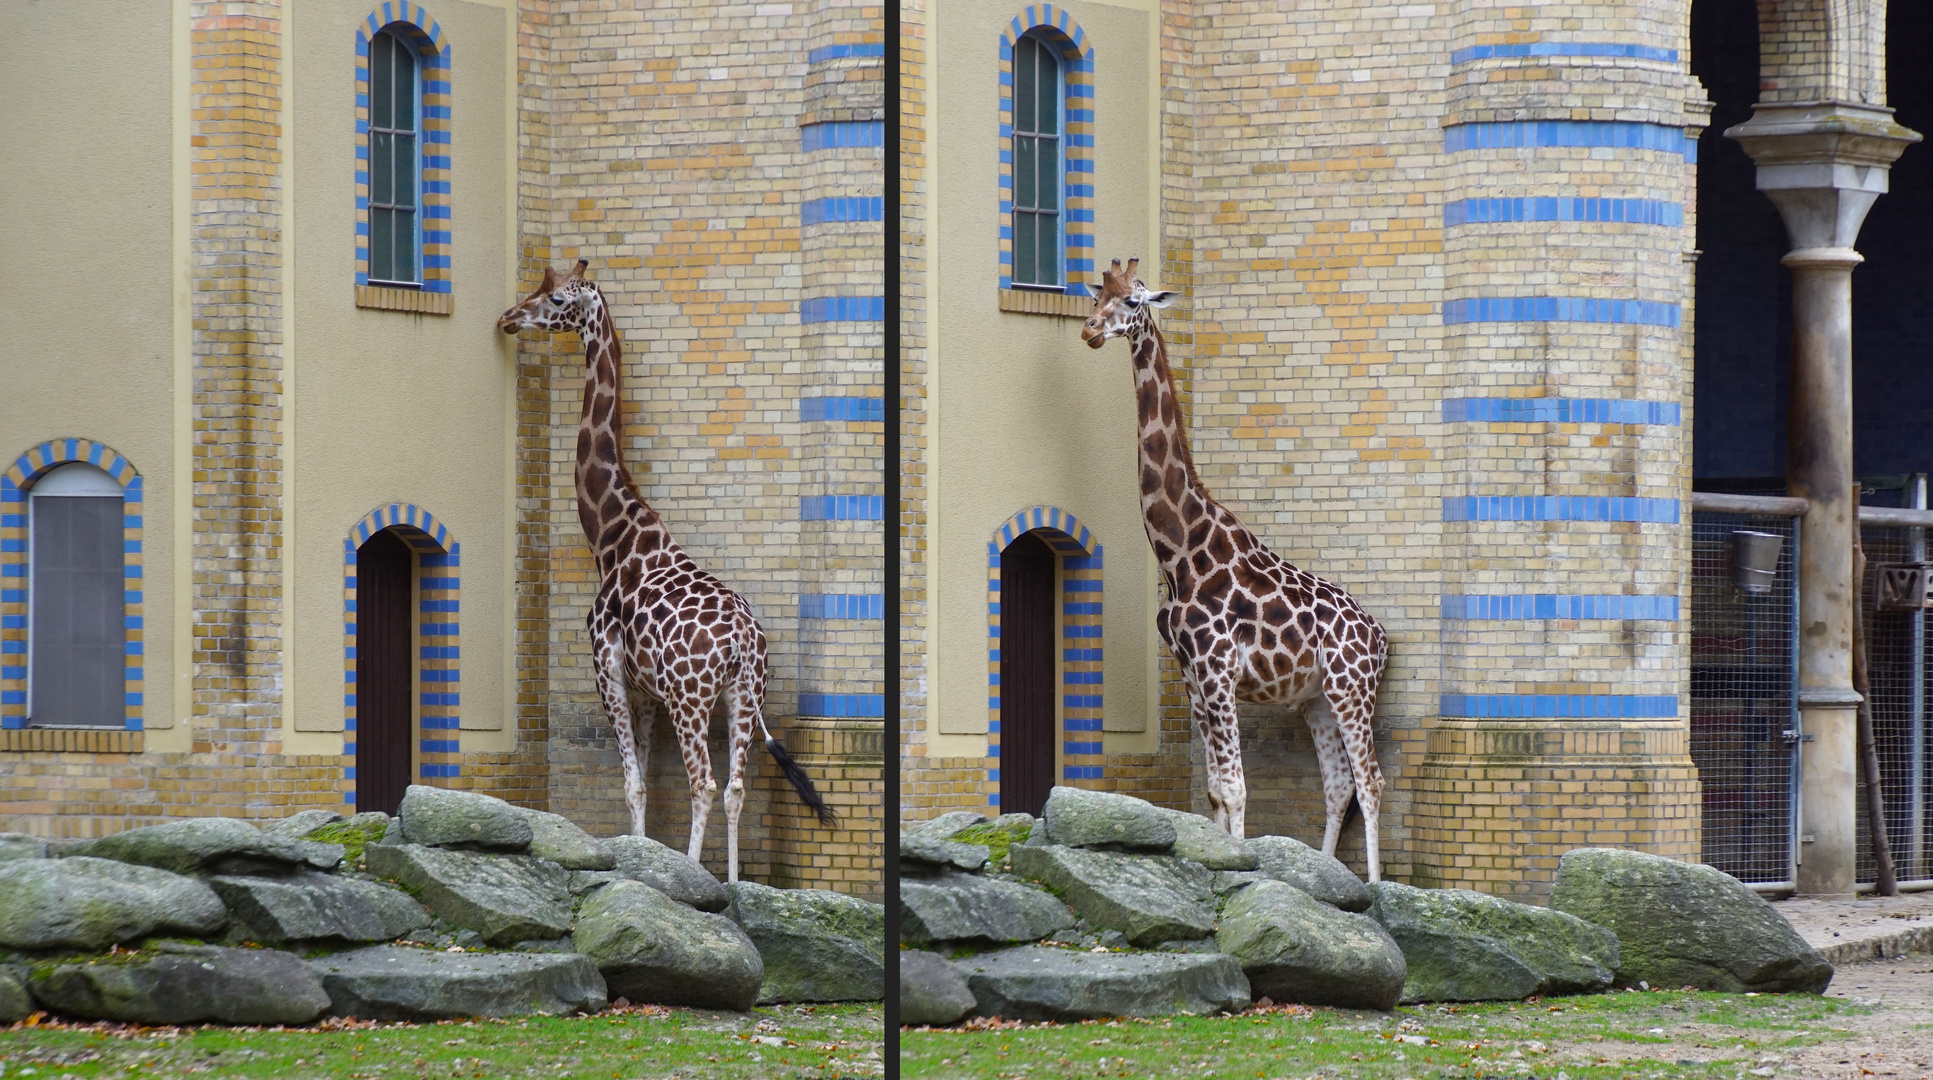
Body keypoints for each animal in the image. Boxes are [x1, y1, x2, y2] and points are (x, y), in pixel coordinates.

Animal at [498, 256, 831, 884]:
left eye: (556, 299)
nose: (507, 317)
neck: (612, 536)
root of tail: (745, 641)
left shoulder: (607, 669)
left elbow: (632, 785)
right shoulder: (647, 690)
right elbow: (647, 787)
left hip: (693, 698)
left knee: (705, 783)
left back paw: (696, 878)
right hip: (743, 695)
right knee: (735, 787)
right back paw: (733, 885)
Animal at [1074, 260, 1391, 881]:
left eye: (1134, 302)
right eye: (1097, 297)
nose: (1090, 331)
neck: (1179, 553)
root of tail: (1382, 638)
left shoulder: (1219, 670)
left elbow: (1238, 789)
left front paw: (1243, 867)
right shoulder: (1193, 675)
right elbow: (1218, 790)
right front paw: (1219, 857)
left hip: (1351, 690)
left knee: (1370, 783)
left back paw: (1375, 887)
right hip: (1317, 699)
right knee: (1338, 785)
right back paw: (1327, 873)